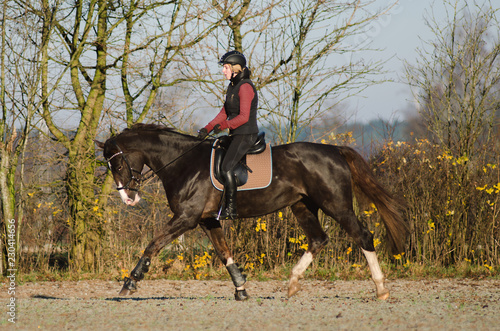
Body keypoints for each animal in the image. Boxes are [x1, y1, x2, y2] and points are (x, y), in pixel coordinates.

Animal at [95, 124, 408, 300]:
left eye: (118, 164)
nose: (128, 197)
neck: (183, 162)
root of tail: (334, 150)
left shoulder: (187, 218)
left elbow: (153, 244)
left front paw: (130, 283)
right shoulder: (207, 220)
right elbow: (224, 254)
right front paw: (241, 289)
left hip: (336, 205)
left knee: (363, 236)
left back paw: (381, 289)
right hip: (302, 205)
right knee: (319, 239)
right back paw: (292, 284)